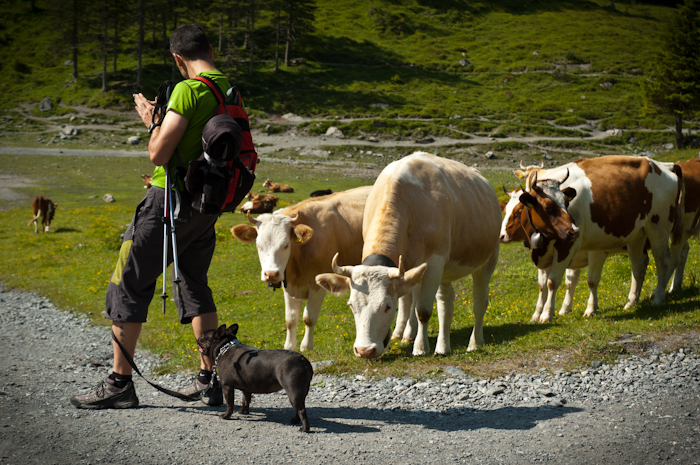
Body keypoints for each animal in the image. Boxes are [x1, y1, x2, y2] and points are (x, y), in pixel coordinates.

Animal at [230, 185, 372, 352]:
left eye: (286, 245)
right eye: (259, 245)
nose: (271, 274)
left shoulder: (318, 285)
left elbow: (309, 318)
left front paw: (306, 347)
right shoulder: (289, 284)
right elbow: (290, 319)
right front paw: (289, 346)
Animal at [314, 150, 500, 358]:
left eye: (387, 306)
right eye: (352, 305)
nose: (364, 350)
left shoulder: (434, 262)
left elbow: (423, 310)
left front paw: (420, 347)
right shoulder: (410, 267)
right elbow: (407, 300)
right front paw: (404, 334)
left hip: (487, 259)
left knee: (479, 302)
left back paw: (475, 342)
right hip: (444, 270)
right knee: (445, 302)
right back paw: (442, 345)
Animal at [516, 156, 684, 322]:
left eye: (566, 202)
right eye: (547, 207)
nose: (574, 231)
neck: (544, 239)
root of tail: (661, 165)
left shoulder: (567, 248)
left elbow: (553, 282)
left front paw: (547, 314)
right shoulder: (542, 254)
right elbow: (542, 285)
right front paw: (536, 314)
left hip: (658, 229)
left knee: (663, 261)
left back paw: (658, 298)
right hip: (637, 235)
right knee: (639, 265)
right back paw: (631, 302)